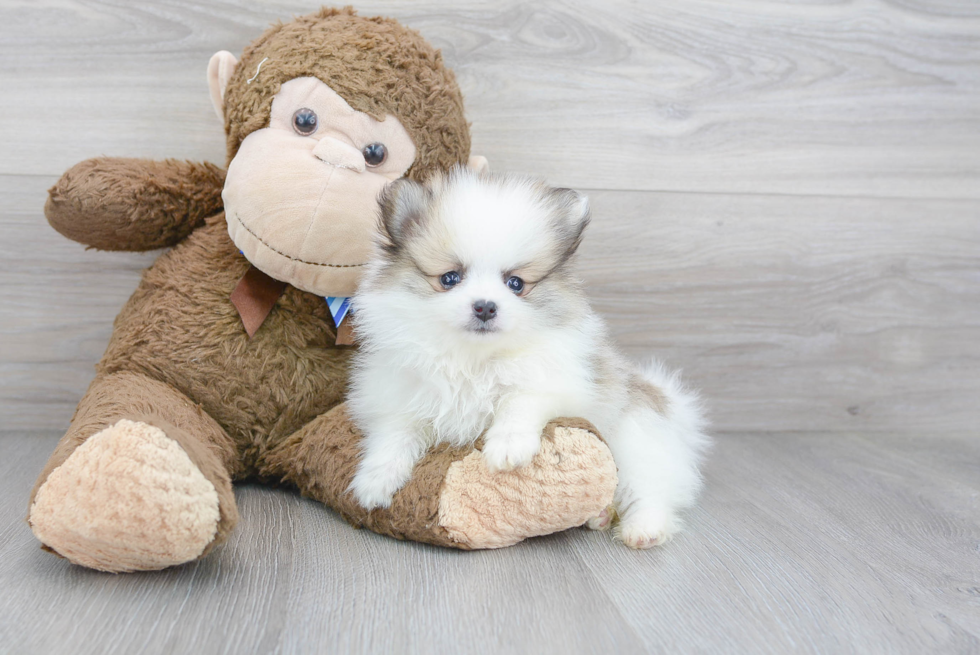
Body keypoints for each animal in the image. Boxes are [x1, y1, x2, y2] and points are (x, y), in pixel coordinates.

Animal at [348, 168, 708, 548]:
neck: (472, 358)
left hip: (636, 439)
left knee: (651, 488)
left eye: (516, 283)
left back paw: (643, 529)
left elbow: (519, 401)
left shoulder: (553, 383)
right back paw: (599, 515)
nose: (485, 306)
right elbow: (394, 434)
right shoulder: (401, 396)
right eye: (450, 278)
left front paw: (507, 447)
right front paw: (374, 482)